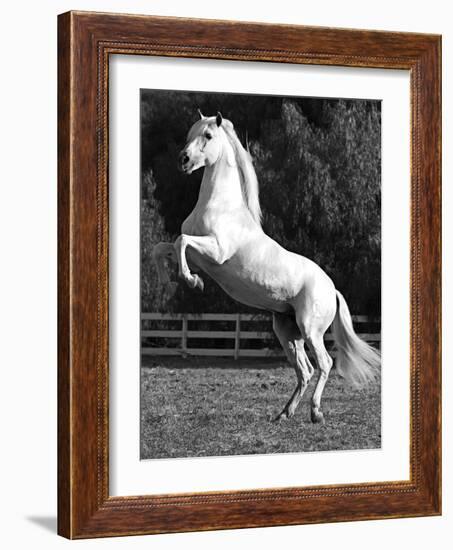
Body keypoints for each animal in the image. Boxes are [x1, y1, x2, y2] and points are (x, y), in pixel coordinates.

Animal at [154, 110, 380, 424]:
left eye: (208, 136)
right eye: (189, 134)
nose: (183, 160)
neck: (221, 206)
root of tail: (332, 289)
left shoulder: (216, 252)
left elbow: (181, 241)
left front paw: (191, 281)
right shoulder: (199, 256)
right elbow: (165, 248)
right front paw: (170, 284)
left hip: (310, 330)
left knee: (324, 364)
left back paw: (316, 413)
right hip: (287, 331)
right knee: (305, 370)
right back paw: (284, 413)